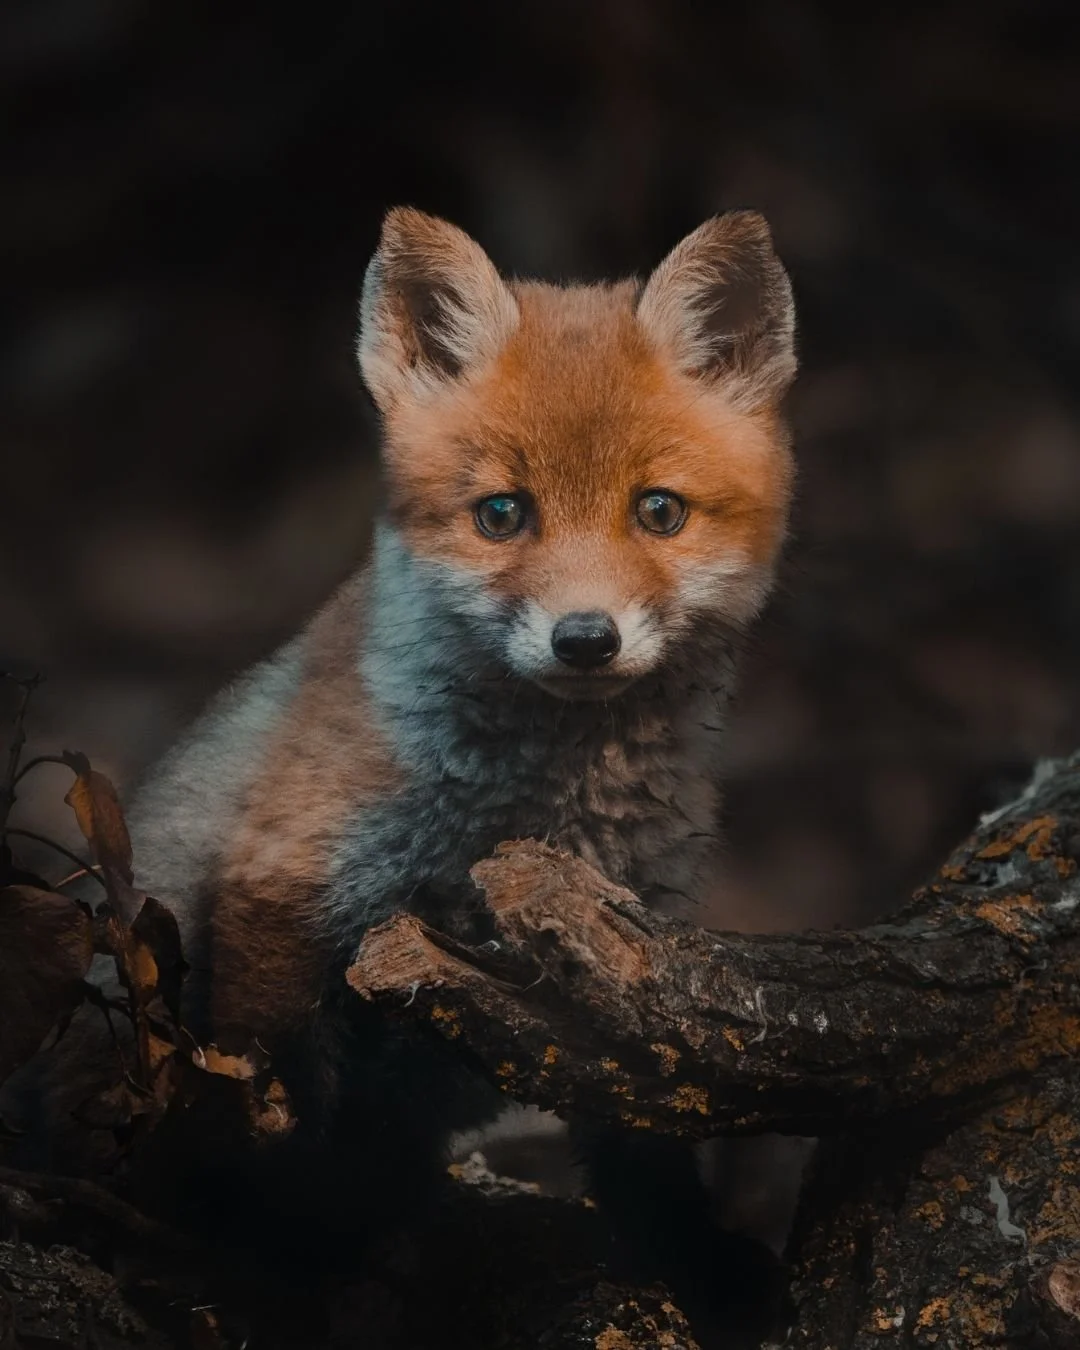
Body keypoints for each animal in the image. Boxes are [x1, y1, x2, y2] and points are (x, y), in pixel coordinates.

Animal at [17, 207, 800, 1336]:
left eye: (659, 512)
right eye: (503, 515)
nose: (585, 639)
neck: (525, 812)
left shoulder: (621, 961)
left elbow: (643, 1146)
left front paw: (702, 1265)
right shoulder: (284, 890)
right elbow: (273, 1109)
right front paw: (276, 1263)